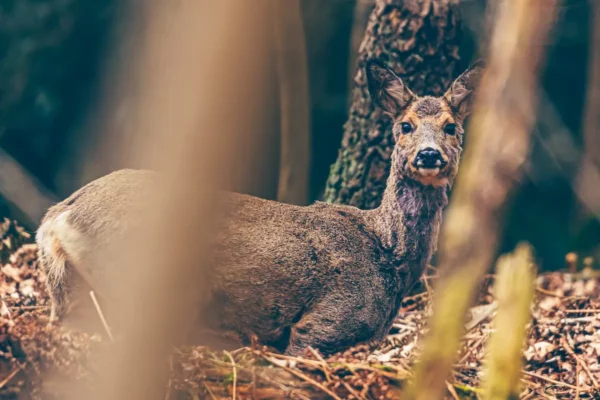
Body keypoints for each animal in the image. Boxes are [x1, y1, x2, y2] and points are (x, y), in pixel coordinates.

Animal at [37, 60, 480, 356]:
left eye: (451, 127)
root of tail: (59, 217)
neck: (388, 256)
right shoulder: (327, 320)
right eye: (405, 125)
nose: (428, 155)